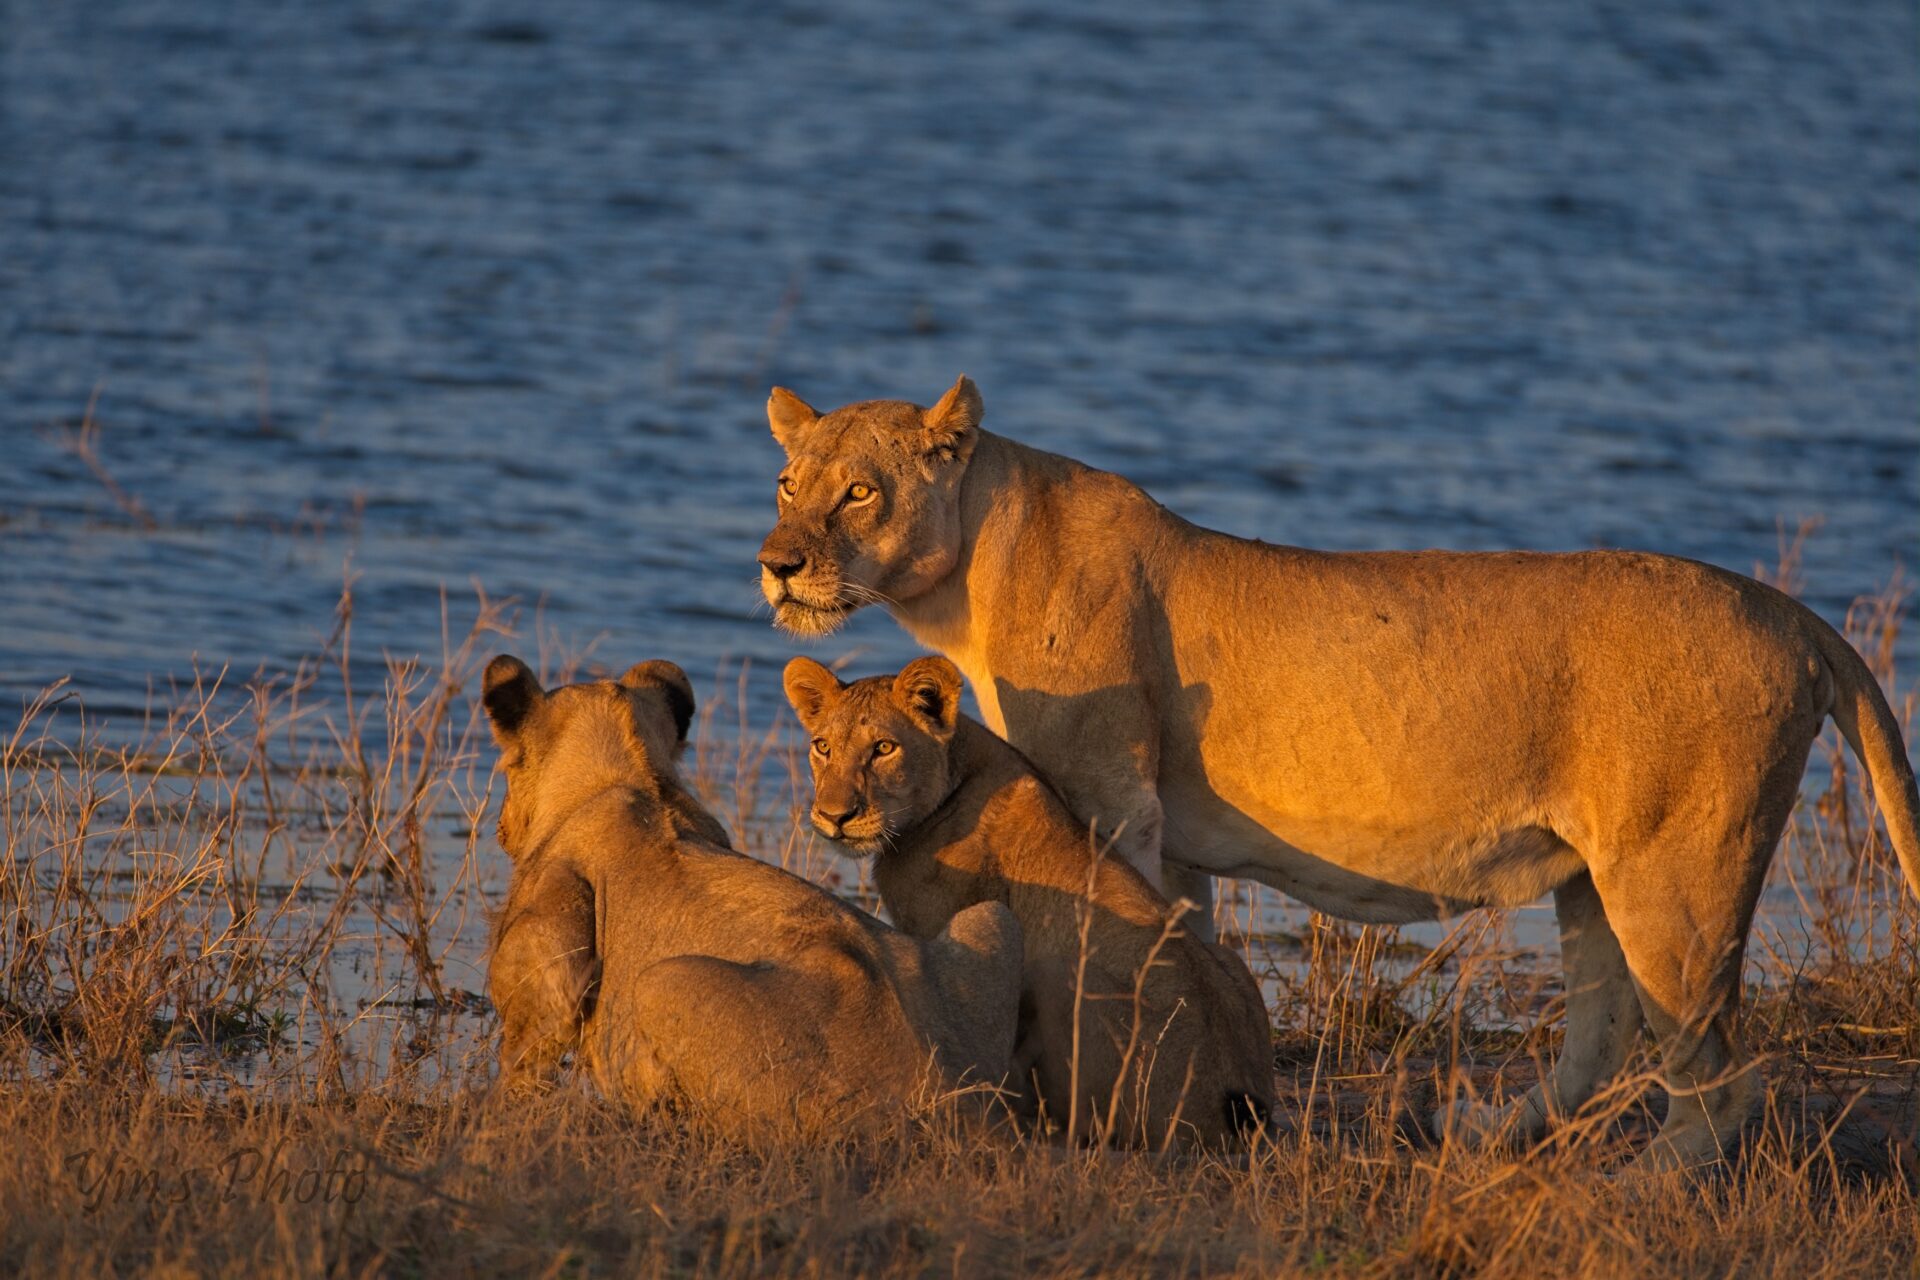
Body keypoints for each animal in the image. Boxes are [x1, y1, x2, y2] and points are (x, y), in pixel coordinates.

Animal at [481, 653, 1023, 1140]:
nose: (500, 827)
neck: (633, 781)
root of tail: (966, 1110)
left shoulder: (548, 969)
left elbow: (522, 1067)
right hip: (990, 918)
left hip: (661, 982)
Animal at [783, 654, 1276, 1149]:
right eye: (822, 747)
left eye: (884, 748)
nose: (834, 816)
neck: (959, 770)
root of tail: (1241, 1105)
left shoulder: (942, 931)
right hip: (1227, 958)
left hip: (1063, 976)